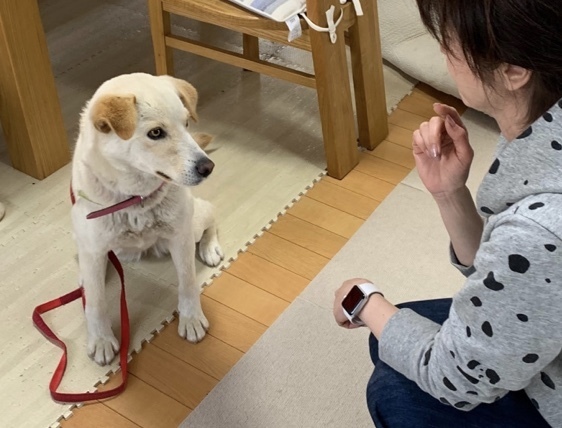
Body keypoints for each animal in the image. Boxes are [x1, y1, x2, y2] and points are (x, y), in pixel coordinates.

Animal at [71, 73, 224, 365]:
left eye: (187, 123)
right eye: (155, 133)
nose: (208, 167)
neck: (135, 199)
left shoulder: (180, 238)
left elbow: (188, 283)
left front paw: (191, 318)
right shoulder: (93, 247)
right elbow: (95, 303)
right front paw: (101, 339)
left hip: (191, 225)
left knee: (210, 212)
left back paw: (210, 247)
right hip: (84, 238)